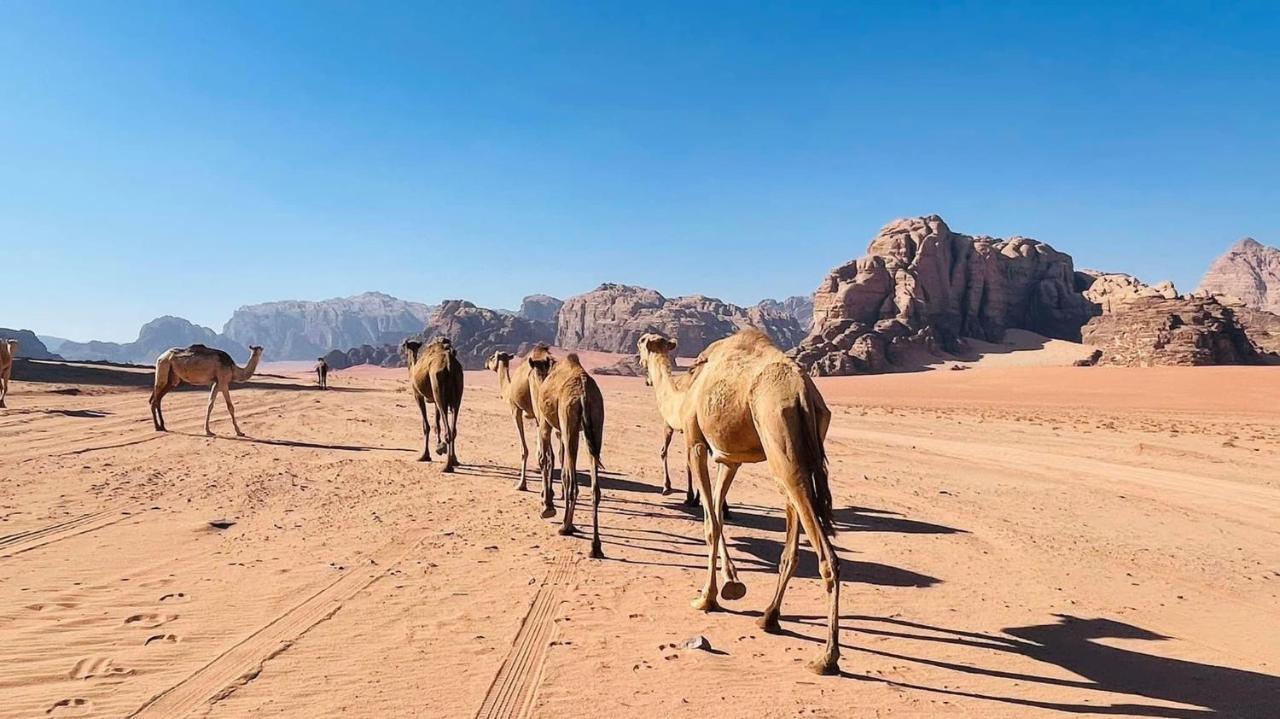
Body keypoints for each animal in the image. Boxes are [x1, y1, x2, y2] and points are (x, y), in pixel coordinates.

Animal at [404, 337, 465, 470]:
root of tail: (449, 362)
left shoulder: (418, 395)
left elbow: (426, 426)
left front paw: (425, 456)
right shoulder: (436, 399)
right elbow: (437, 424)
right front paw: (439, 447)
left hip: (437, 382)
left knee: (448, 431)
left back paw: (447, 467)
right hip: (457, 387)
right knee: (453, 427)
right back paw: (454, 460)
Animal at [481, 345, 552, 488]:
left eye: (492, 357)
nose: (485, 362)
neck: (508, 389)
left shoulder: (515, 409)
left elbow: (525, 449)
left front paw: (521, 484)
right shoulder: (535, 418)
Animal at [524, 350, 604, 557]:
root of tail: (584, 394)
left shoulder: (545, 424)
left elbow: (545, 459)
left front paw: (547, 506)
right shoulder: (561, 430)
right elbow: (559, 464)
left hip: (570, 421)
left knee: (573, 483)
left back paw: (565, 526)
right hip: (596, 425)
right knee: (594, 486)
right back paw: (595, 546)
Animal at [680, 327, 839, 675]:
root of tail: (803, 394)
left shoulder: (696, 442)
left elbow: (710, 524)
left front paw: (707, 597)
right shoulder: (730, 458)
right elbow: (718, 515)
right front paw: (730, 586)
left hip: (779, 444)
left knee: (828, 557)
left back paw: (827, 657)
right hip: (794, 454)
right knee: (792, 544)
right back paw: (769, 617)